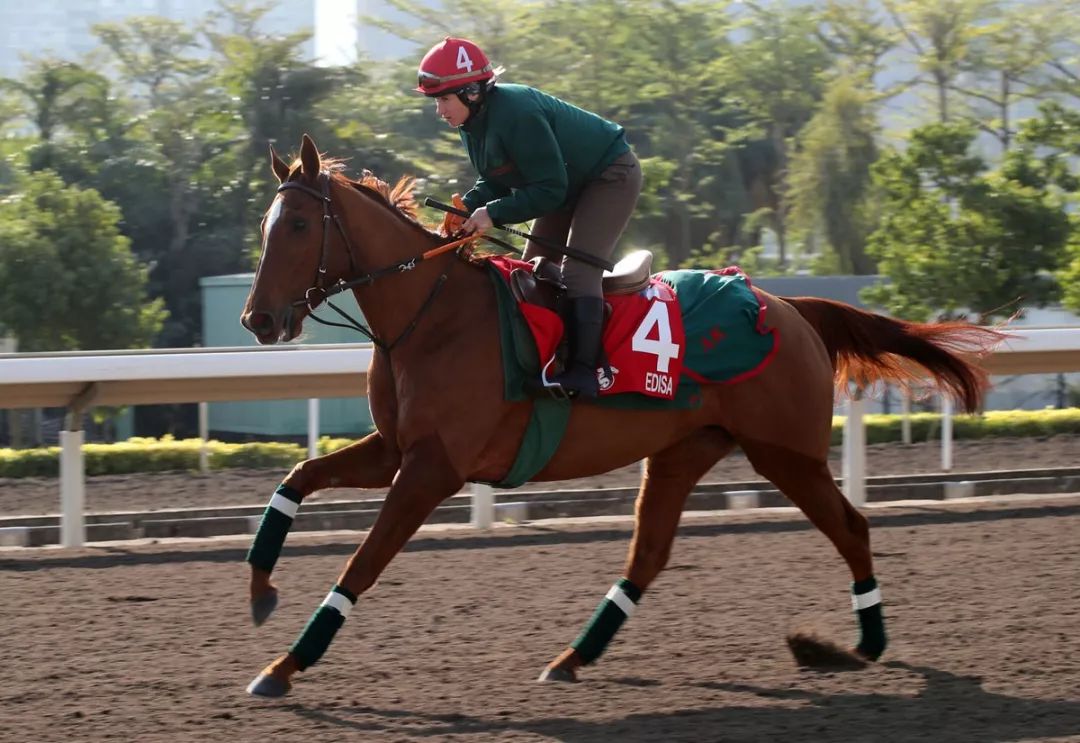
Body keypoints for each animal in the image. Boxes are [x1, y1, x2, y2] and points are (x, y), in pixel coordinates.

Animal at [236, 133, 1002, 695]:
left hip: (786, 453)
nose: (259, 320)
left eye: (298, 223)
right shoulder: (396, 449)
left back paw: (864, 642)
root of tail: (789, 306)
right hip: (683, 452)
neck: (432, 317)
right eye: (265, 224)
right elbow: (295, 480)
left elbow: (362, 564)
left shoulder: (432, 469)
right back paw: (571, 658)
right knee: (650, 554)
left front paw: (282, 667)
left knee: (850, 526)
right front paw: (260, 591)